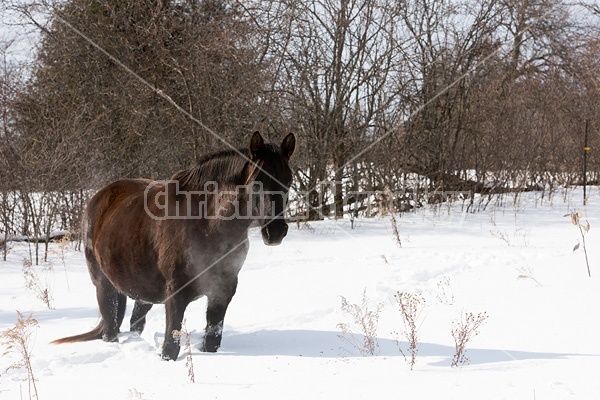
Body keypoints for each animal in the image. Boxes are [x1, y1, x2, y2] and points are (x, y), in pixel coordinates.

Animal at [52, 133, 296, 360]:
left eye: (289, 180)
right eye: (257, 182)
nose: (275, 231)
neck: (206, 224)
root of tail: (99, 197)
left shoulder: (222, 291)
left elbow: (212, 341)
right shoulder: (176, 295)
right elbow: (170, 347)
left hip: (142, 291)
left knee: (135, 323)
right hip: (105, 287)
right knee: (110, 330)